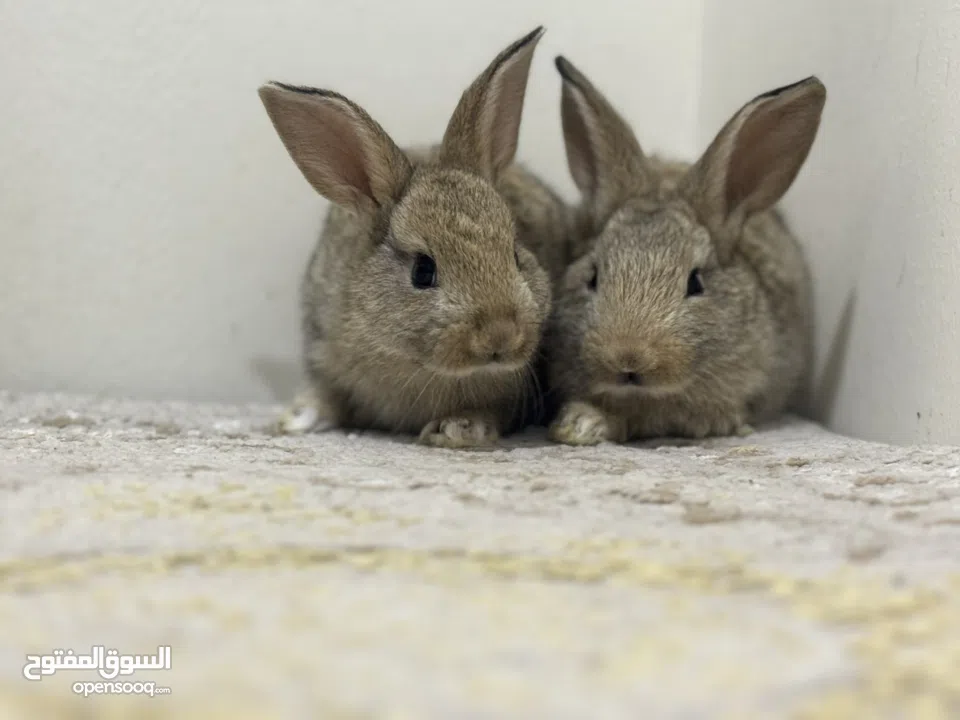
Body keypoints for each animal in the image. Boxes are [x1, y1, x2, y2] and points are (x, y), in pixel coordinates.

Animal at [257, 27, 573, 449]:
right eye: (423, 271)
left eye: (515, 255)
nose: (501, 335)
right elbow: (327, 395)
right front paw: (294, 419)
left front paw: (458, 428)